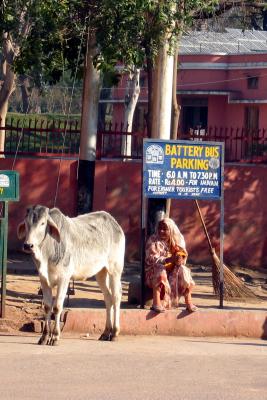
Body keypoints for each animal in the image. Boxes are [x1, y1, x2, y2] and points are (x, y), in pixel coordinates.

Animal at [17, 205, 126, 346]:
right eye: (26, 223)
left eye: (42, 223)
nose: (28, 245)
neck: (47, 251)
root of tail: (114, 222)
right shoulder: (44, 280)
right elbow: (47, 307)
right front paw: (44, 337)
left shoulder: (64, 279)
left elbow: (57, 307)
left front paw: (55, 337)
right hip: (101, 273)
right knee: (108, 298)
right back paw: (106, 332)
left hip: (115, 270)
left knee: (116, 296)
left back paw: (115, 333)